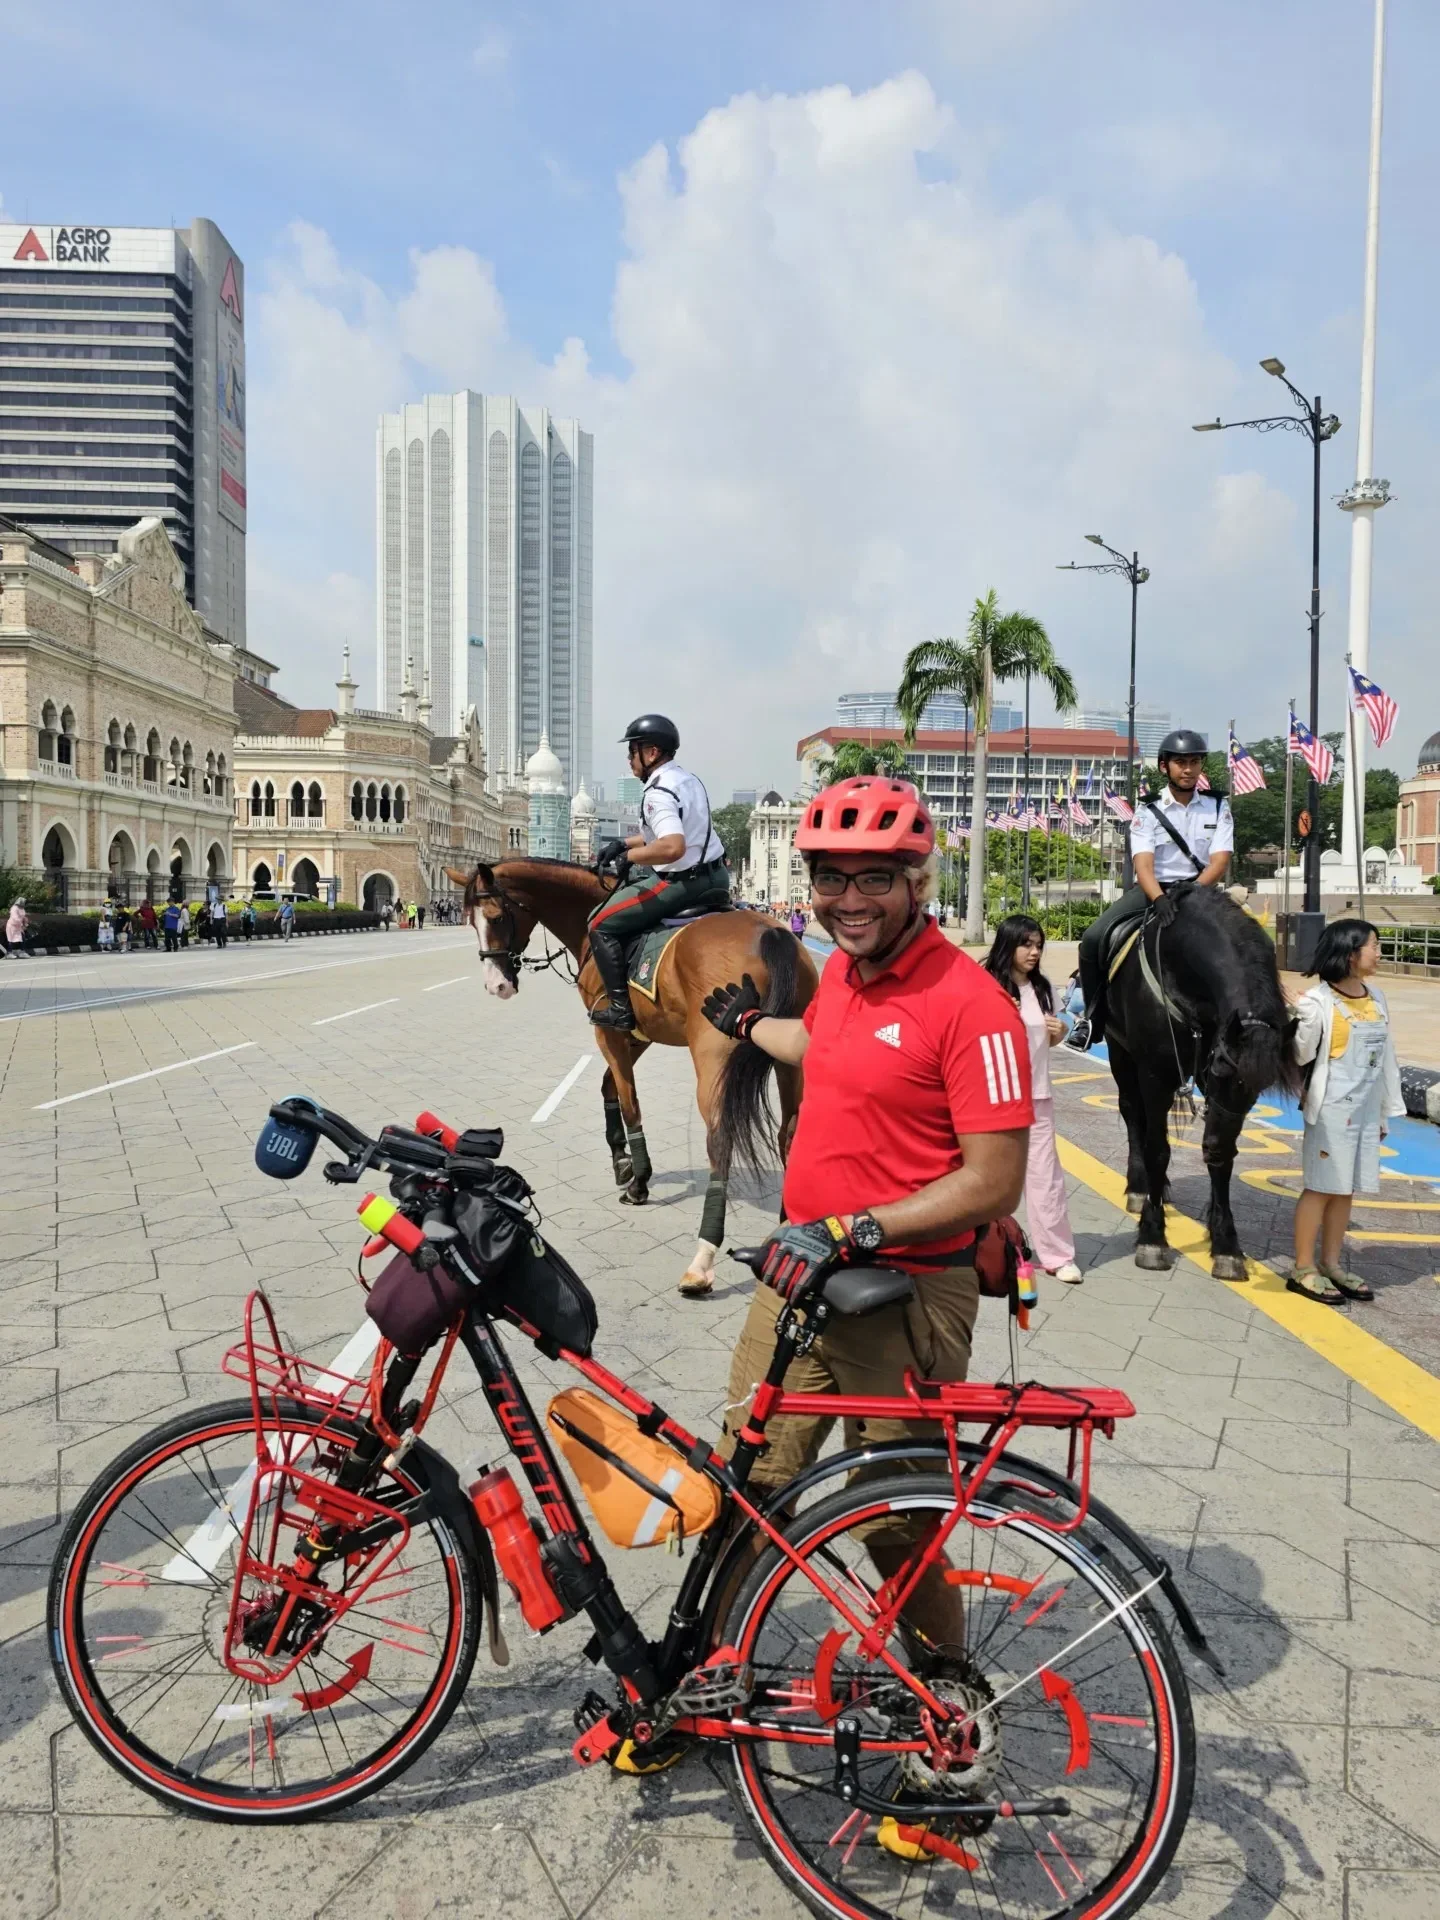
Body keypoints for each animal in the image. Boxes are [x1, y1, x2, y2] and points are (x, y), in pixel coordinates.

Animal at [451, 864, 817, 1297]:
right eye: (467, 921)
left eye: (494, 918)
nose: (497, 985)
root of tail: (772, 933)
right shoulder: (637, 1033)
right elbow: (609, 1087)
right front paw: (622, 1162)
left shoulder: (608, 1030)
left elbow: (629, 1102)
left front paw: (638, 1180)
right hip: (789, 1055)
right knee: (789, 1132)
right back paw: (787, 1228)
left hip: (716, 1057)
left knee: (720, 1140)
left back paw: (703, 1258)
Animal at [1105, 887, 1305, 1282]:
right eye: (1223, 1071)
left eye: (1258, 1089)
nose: (1212, 1148)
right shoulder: (1155, 1073)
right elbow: (1157, 1149)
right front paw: (1152, 1238)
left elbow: (1223, 1161)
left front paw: (1226, 1245)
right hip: (1119, 1051)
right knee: (1132, 1114)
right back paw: (1139, 1187)